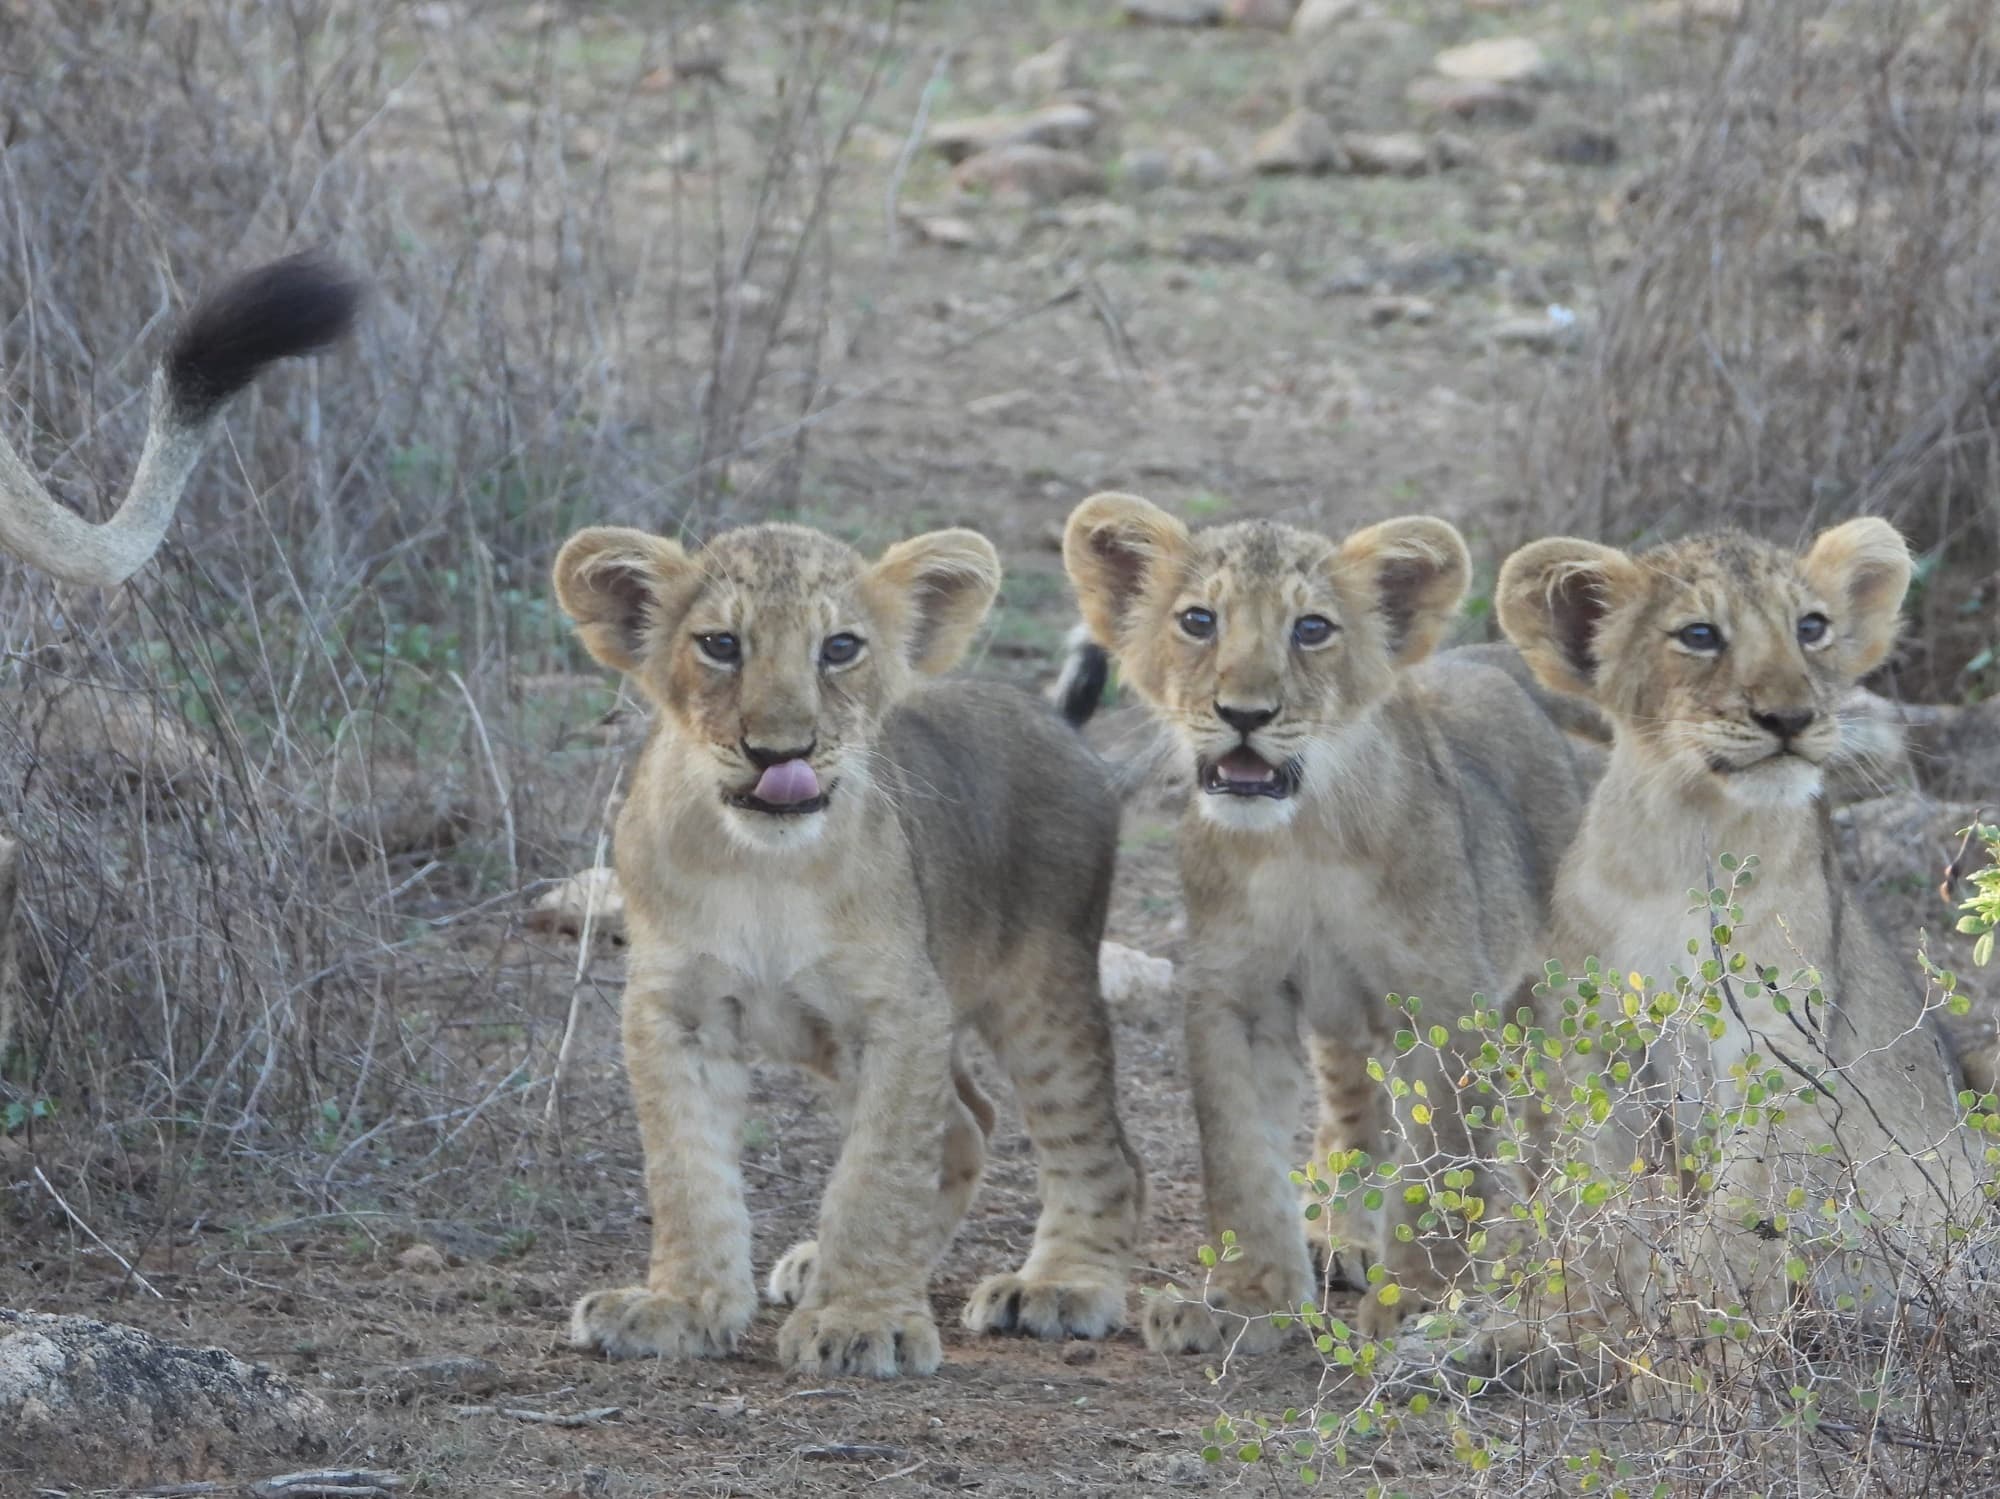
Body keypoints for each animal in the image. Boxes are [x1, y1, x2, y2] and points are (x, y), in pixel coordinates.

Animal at [552, 520, 1146, 1378]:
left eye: (839, 648)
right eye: (720, 644)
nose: (780, 752)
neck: (763, 866)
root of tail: (1055, 722)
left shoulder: (899, 1010)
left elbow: (878, 1171)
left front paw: (863, 1319)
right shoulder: (675, 1011)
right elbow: (685, 1168)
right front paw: (681, 1306)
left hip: (1044, 986)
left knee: (1097, 1148)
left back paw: (1061, 1286)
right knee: (967, 1123)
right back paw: (831, 1266)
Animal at [1061, 493, 1597, 1353]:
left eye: (1311, 628)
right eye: (1199, 620)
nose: (1244, 714)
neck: (1301, 836)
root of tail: (1500, 658)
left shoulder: (1448, 1001)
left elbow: (1443, 1160)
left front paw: (1418, 1302)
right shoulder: (1238, 993)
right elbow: (1242, 1157)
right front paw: (1250, 1299)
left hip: (1548, 996)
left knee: (1553, 1123)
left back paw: (1548, 1253)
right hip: (1350, 1023)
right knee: (1354, 1120)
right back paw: (1339, 1236)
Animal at [1489, 520, 1985, 1387]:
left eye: (1811, 627)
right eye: (1699, 635)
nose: (1791, 715)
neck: (1688, 833)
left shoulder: (1778, 1038)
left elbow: (1741, 1205)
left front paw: (1705, 1348)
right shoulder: (1596, 1038)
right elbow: (1598, 1191)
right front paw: (1586, 1328)